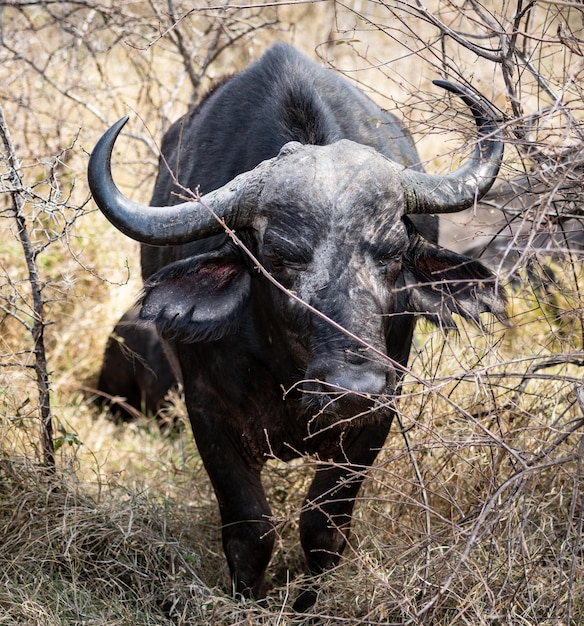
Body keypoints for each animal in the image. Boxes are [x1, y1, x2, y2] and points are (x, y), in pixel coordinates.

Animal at [88, 41, 506, 608]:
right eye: (279, 258)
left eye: (392, 252)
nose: (351, 387)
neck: (288, 372)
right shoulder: (207, 412)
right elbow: (250, 528)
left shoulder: (376, 415)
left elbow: (324, 526)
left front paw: (311, 603)